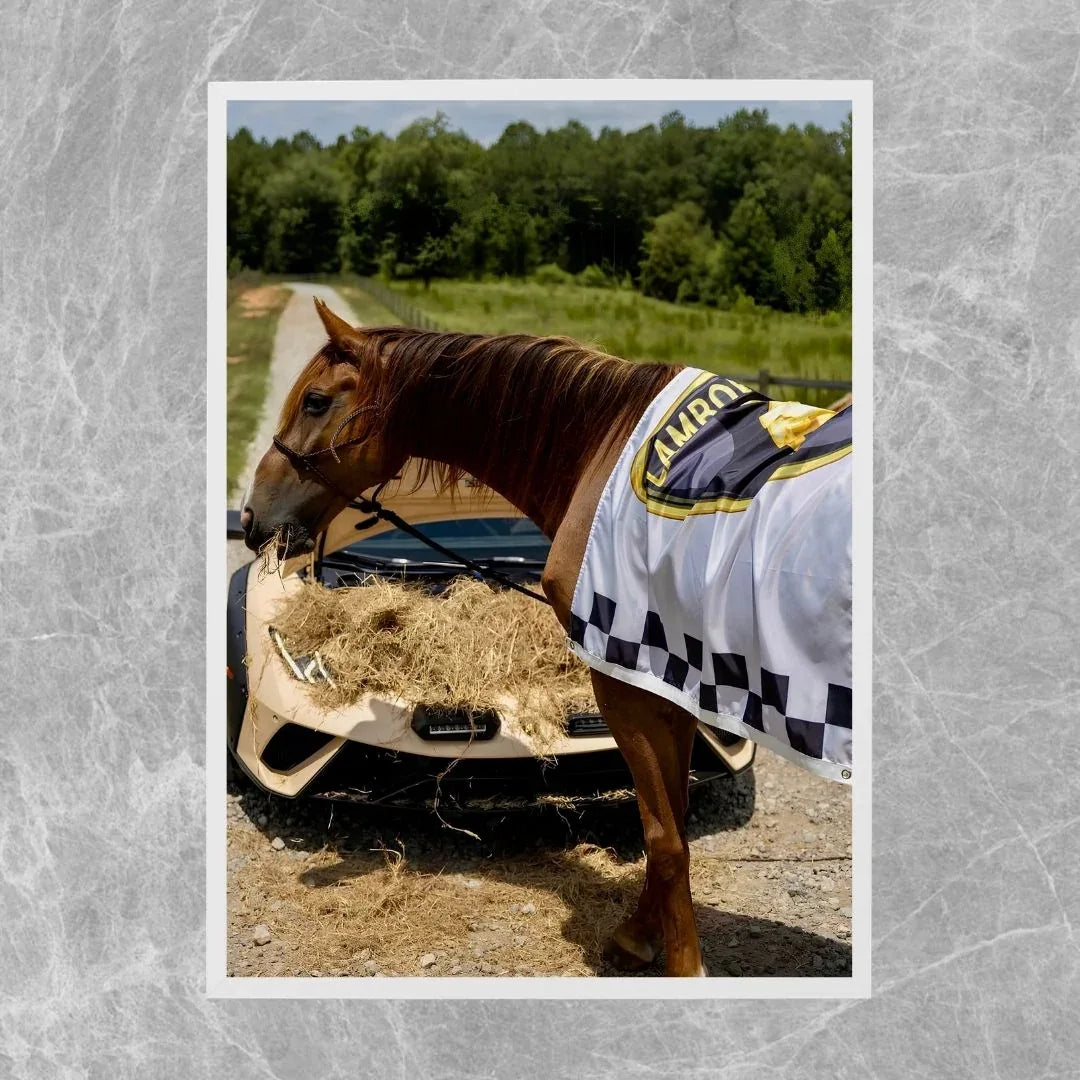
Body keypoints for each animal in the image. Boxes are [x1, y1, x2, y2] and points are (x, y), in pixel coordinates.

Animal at [242, 298, 851, 977]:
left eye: (316, 401)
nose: (251, 517)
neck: (604, 451)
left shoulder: (624, 682)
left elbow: (662, 834)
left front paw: (679, 962)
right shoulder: (671, 679)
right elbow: (672, 819)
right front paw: (640, 933)